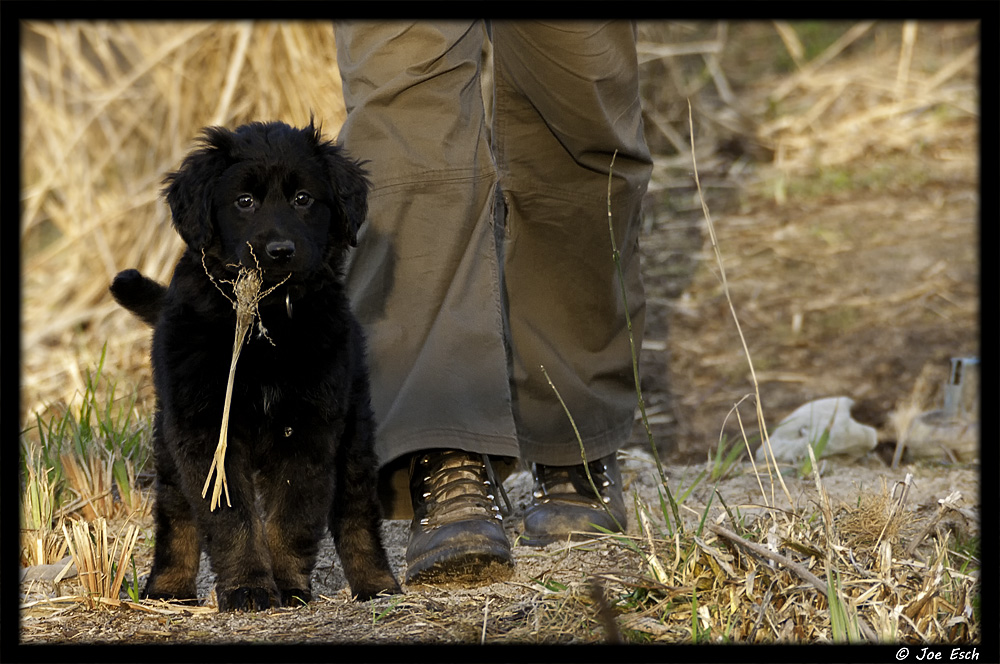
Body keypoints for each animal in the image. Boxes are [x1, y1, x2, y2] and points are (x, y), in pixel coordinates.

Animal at [111, 120, 400, 612]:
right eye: (244, 202)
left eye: (303, 199)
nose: (279, 251)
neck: (267, 321)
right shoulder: (207, 430)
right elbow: (232, 521)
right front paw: (249, 588)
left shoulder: (310, 427)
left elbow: (291, 516)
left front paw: (287, 587)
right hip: (168, 439)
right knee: (175, 514)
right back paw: (168, 587)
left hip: (354, 431)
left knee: (357, 513)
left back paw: (377, 583)